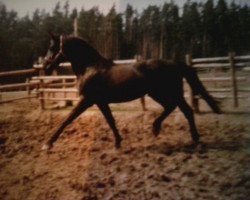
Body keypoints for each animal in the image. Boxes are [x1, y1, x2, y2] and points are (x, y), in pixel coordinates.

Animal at [42, 34, 222, 150]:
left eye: (52, 47)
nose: (45, 66)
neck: (90, 67)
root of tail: (176, 63)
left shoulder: (87, 100)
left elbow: (68, 119)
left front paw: (48, 143)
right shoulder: (100, 101)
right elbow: (110, 120)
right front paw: (118, 142)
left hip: (168, 93)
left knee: (186, 111)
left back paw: (194, 139)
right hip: (160, 94)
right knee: (173, 108)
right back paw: (157, 128)